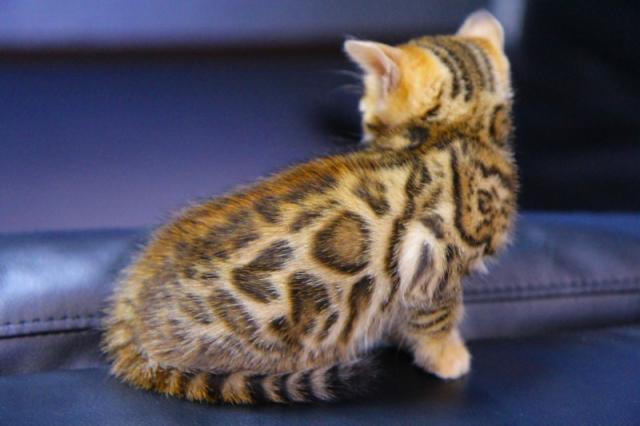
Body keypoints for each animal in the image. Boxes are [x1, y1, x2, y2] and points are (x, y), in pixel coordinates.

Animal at [102, 10, 517, 404]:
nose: (364, 121)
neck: (460, 131)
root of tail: (132, 302)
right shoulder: (434, 271)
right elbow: (436, 322)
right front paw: (448, 358)